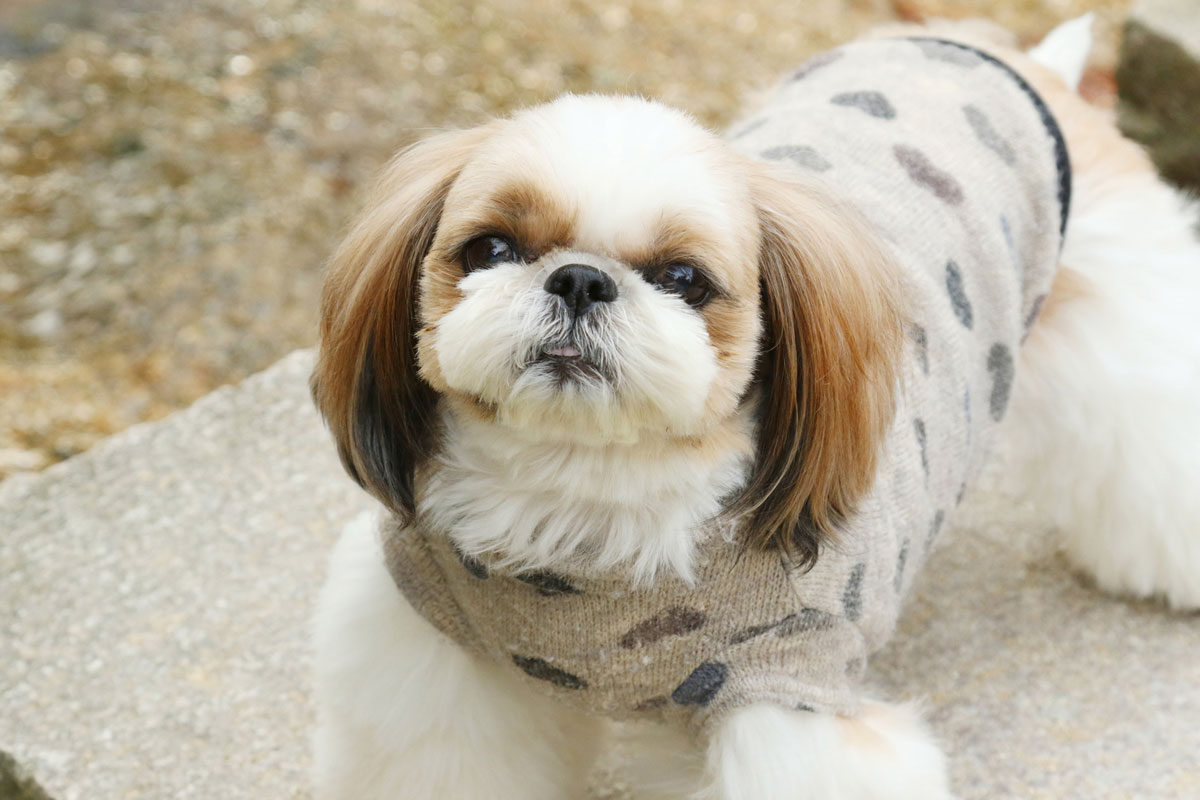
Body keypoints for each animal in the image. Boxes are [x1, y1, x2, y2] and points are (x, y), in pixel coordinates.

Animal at [307, 14, 1200, 800]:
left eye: (683, 278)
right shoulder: (443, 657)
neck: (585, 519)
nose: (581, 278)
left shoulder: (794, 693)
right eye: (490, 248)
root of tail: (1017, 59)